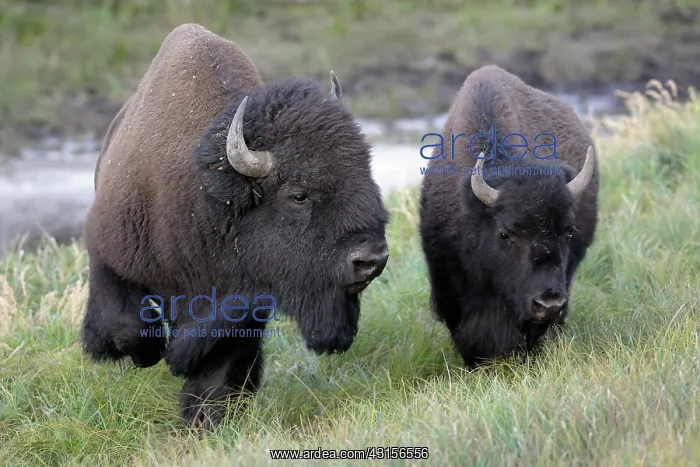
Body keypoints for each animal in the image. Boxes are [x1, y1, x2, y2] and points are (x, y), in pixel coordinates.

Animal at [81, 23, 390, 427]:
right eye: (299, 195)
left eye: (367, 175)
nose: (371, 260)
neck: (208, 197)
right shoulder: (107, 258)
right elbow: (128, 330)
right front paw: (154, 360)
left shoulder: (241, 304)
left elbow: (220, 368)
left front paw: (204, 417)